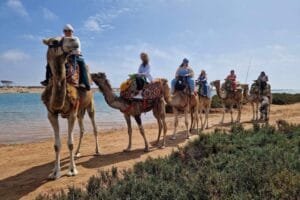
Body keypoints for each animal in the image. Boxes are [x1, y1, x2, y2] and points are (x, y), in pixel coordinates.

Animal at [41, 37, 99, 180]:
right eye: (54, 42)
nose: (75, 40)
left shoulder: (71, 113)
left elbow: (70, 143)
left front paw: (72, 170)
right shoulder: (51, 113)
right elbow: (57, 145)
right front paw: (55, 172)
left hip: (90, 105)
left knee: (94, 127)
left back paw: (97, 151)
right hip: (80, 111)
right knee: (82, 129)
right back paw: (78, 152)